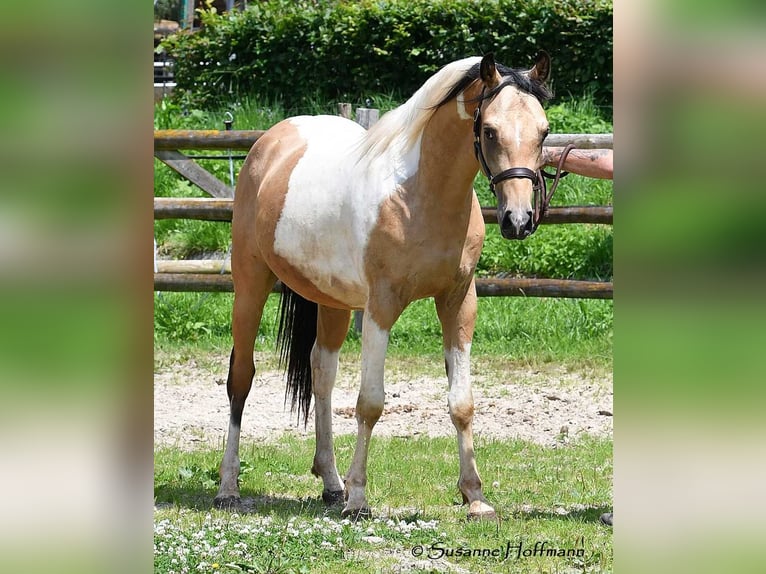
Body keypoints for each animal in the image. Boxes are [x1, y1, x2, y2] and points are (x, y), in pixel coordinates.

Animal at [213, 53, 572, 520]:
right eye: (490, 130)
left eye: (543, 131)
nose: (518, 220)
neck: (418, 196)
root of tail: (272, 141)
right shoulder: (381, 307)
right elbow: (370, 402)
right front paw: (359, 499)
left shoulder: (458, 302)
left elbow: (462, 403)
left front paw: (475, 497)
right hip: (250, 285)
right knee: (241, 378)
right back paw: (228, 487)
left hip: (332, 302)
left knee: (321, 374)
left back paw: (331, 484)